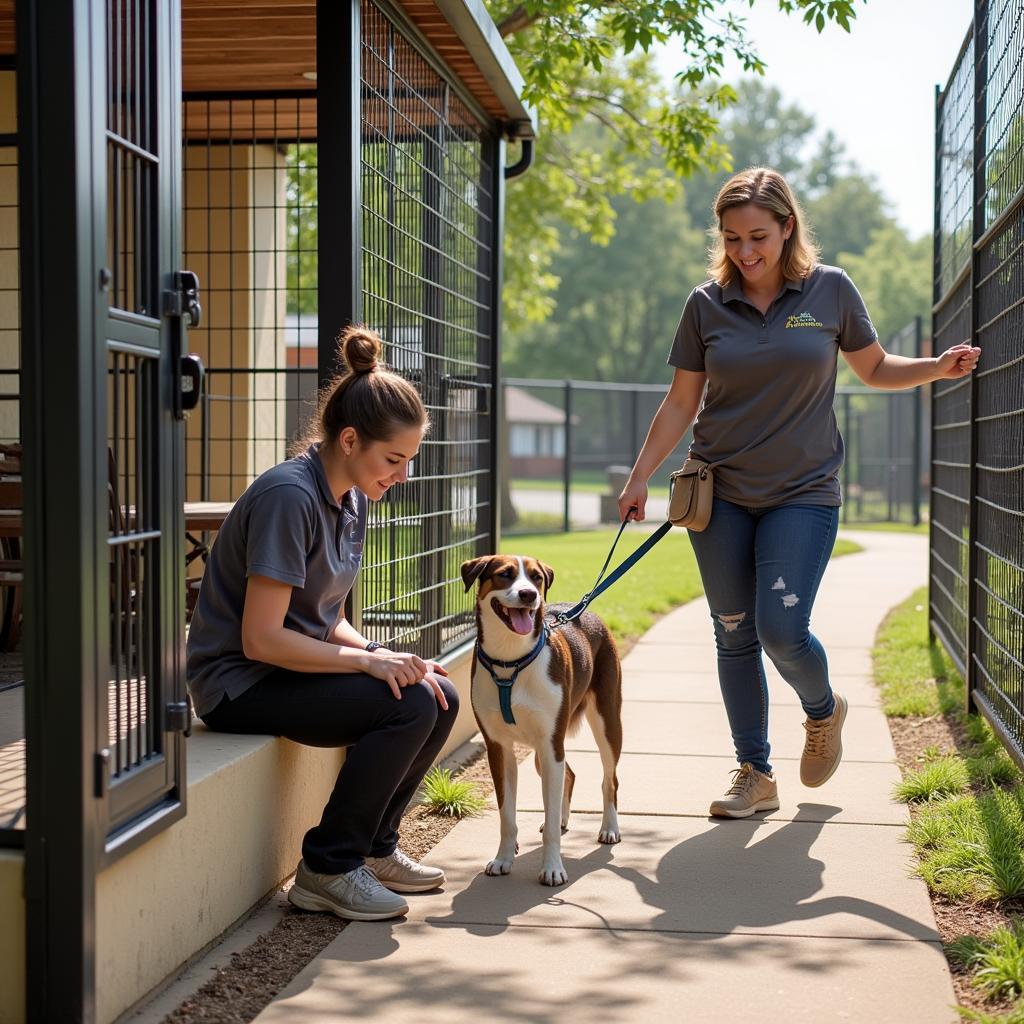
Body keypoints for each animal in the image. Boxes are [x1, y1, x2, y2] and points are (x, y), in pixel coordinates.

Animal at [462, 557, 622, 884]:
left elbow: (548, 822)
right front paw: (503, 858)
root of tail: (587, 610)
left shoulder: (551, 745)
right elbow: (507, 816)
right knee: (569, 775)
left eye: (536, 578)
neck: (510, 661)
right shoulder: (499, 748)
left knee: (610, 779)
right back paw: (561, 820)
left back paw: (609, 828)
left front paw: (552, 868)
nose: (528, 595)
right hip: (541, 752)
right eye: (504, 574)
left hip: (607, 722)